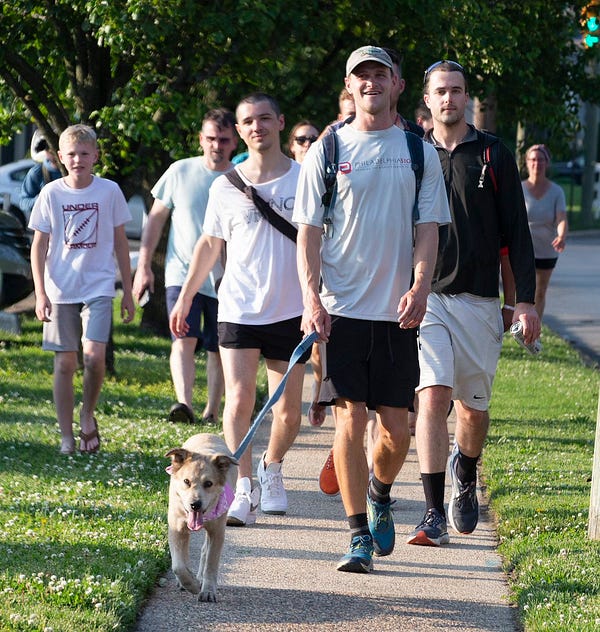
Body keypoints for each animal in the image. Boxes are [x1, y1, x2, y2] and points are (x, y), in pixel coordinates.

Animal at [166, 434, 239, 604]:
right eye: (186, 481)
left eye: (209, 483)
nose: (195, 504)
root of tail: (207, 434)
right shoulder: (176, 528)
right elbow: (178, 566)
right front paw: (191, 585)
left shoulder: (217, 532)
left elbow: (211, 564)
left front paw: (207, 591)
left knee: (205, 551)